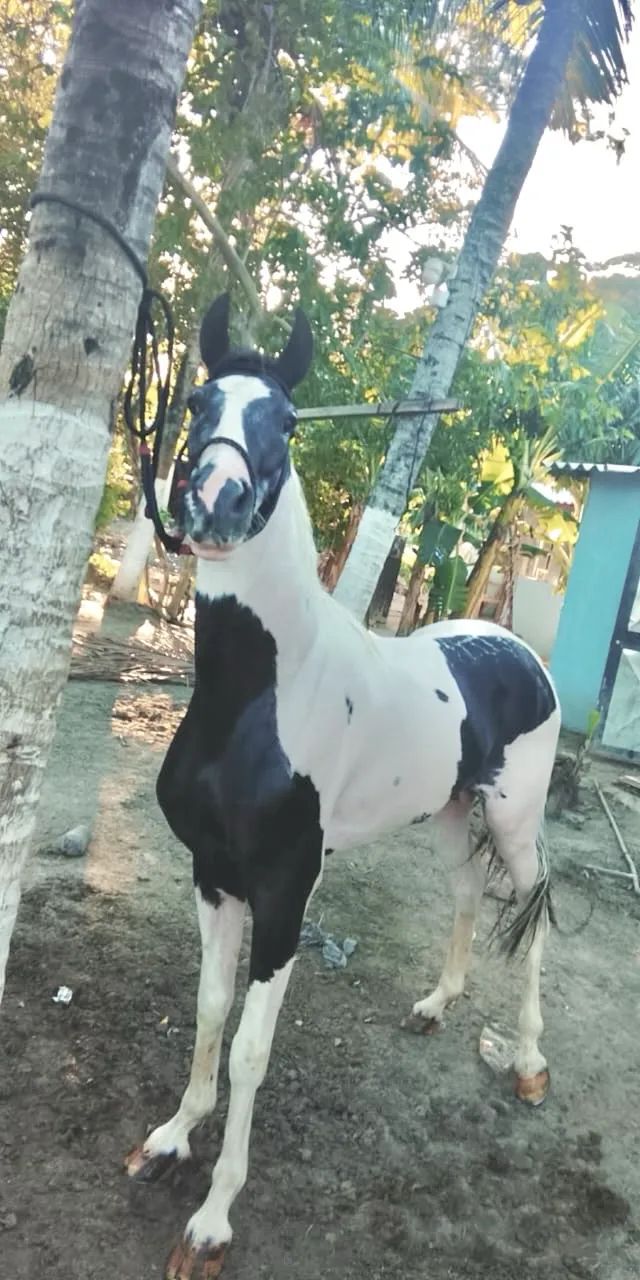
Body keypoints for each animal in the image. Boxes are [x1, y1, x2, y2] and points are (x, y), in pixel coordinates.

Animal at [125, 294, 561, 1280]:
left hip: (515, 824)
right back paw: (435, 1007)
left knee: (533, 920)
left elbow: (251, 1048)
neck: (259, 700)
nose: (215, 501)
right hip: (450, 815)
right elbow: (209, 1008)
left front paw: (213, 1220)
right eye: (198, 401)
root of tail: (518, 649)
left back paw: (527, 1064)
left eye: (287, 422)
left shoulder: (286, 893)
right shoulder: (212, 876)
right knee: (467, 895)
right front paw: (171, 1137)